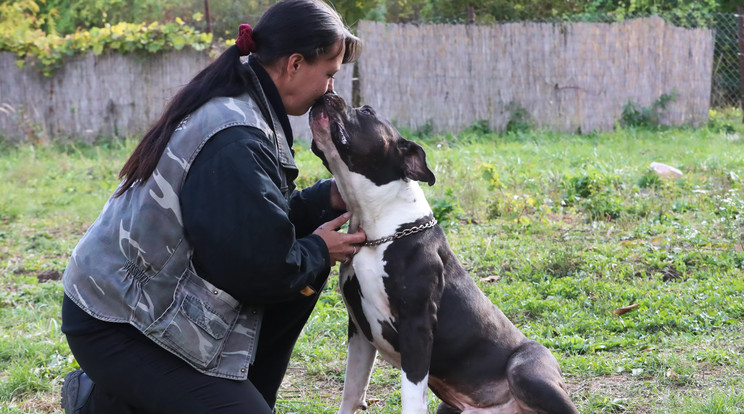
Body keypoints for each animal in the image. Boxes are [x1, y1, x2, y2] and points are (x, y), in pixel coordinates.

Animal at [306, 91, 576, 414]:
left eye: (367, 111)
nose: (328, 92)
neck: (378, 228)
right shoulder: (359, 329)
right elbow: (351, 392)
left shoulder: (417, 327)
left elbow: (411, 398)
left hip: (526, 370)